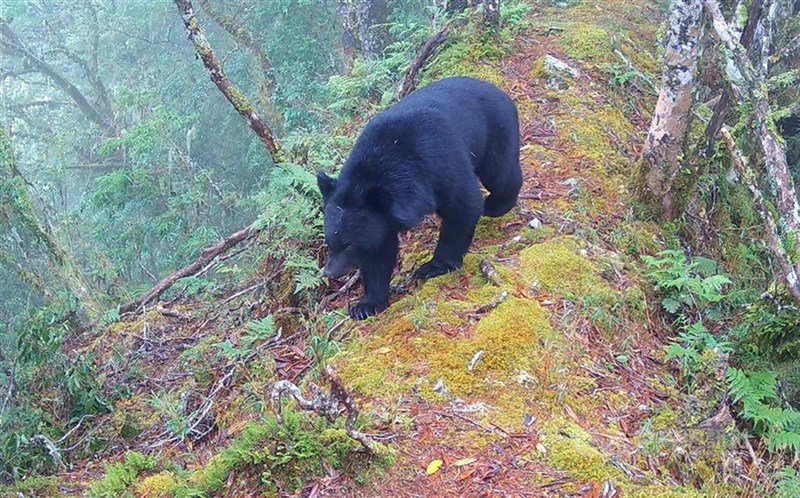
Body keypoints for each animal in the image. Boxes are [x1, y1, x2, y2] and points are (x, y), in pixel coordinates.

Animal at [317, 76, 521, 320]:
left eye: (348, 245)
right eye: (330, 242)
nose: (330, 272)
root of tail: (497, 89)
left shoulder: (440, 164)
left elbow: (463, 205)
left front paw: (432, 267)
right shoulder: (382, 218)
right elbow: (379, 252)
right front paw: (367, 304)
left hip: (496, 130)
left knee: (500, 173)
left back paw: (496, 204)